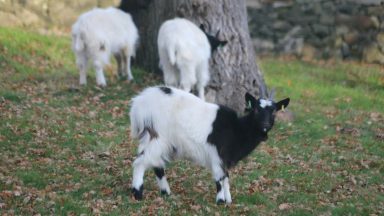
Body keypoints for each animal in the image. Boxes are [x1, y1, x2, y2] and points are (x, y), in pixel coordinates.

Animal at [127, 85, 290, 202]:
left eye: (274, 111)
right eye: (256, 109)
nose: (265, 125)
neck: (237, 129)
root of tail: (139, 103)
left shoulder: (225, 157)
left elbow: (226, 177)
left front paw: (229, 200)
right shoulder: (217, 154)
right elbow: (219, 177)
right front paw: (220, 201)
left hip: (160, 140)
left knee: (156, 164)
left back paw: (166, 192)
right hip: (158, 136)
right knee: (141, 162)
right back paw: (138, 194)